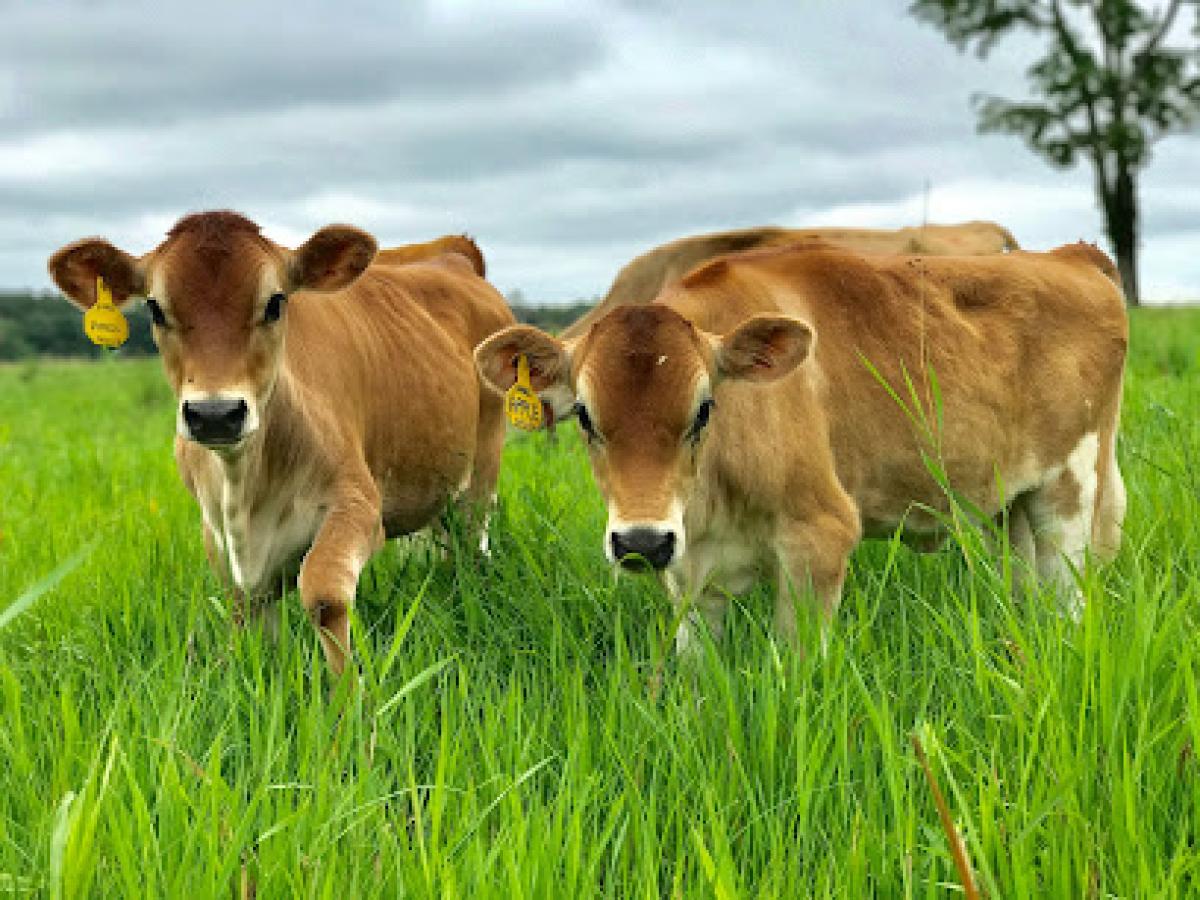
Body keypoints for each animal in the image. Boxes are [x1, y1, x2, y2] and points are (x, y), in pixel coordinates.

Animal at [48, 211, 515, 676]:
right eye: (155, 308)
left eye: (275, 302)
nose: (215, 414)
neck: (244, 482)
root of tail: (450, 253)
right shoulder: (218, 535)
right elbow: (247, 617)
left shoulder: (358, 504)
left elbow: (324, 595)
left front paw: (347, 695)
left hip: (484, 465)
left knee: (473, 543)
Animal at [477, 241, 1126, 652]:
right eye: (585, 416)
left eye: (704, 408)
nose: (641, 542)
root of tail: (1071, 256)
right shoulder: (690, 571)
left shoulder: (819, 540)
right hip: (1008, 506)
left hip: (1071, 492)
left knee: (1068, 600)